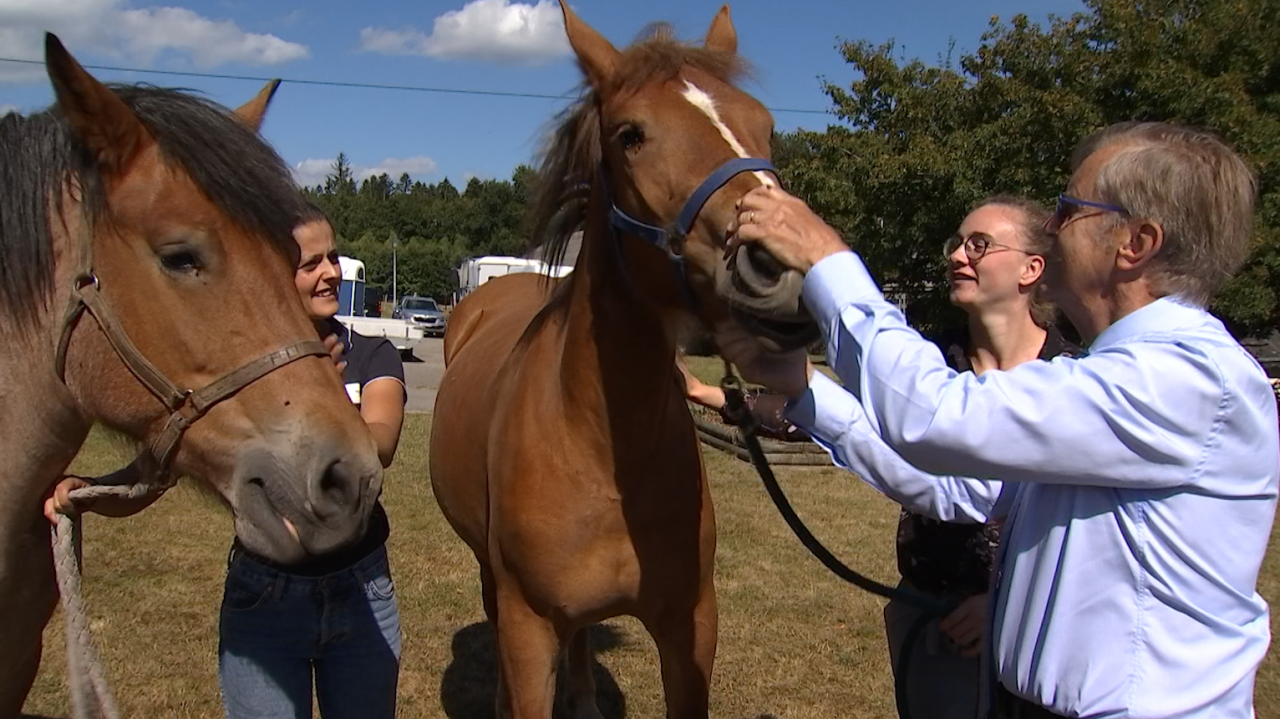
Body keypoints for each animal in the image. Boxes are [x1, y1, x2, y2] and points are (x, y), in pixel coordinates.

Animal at [427, 2, 808, 711]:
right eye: (630, 134)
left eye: (766, 127)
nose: (786, 270)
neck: (601, 449)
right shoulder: (528, 628)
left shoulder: (691, 626)